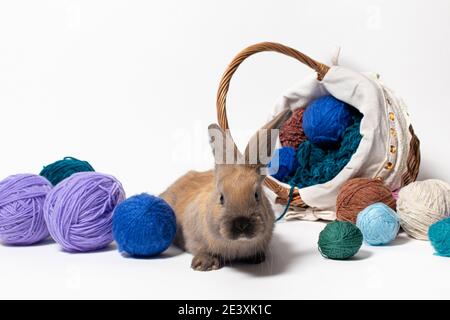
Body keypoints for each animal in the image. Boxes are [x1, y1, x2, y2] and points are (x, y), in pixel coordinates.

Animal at [160, 109, 290, 270]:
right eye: (221, 198)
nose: (241, 224)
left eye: (256, 195)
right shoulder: (192, 237)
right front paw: (204, 264)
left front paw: (256, 258)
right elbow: (200, 248)